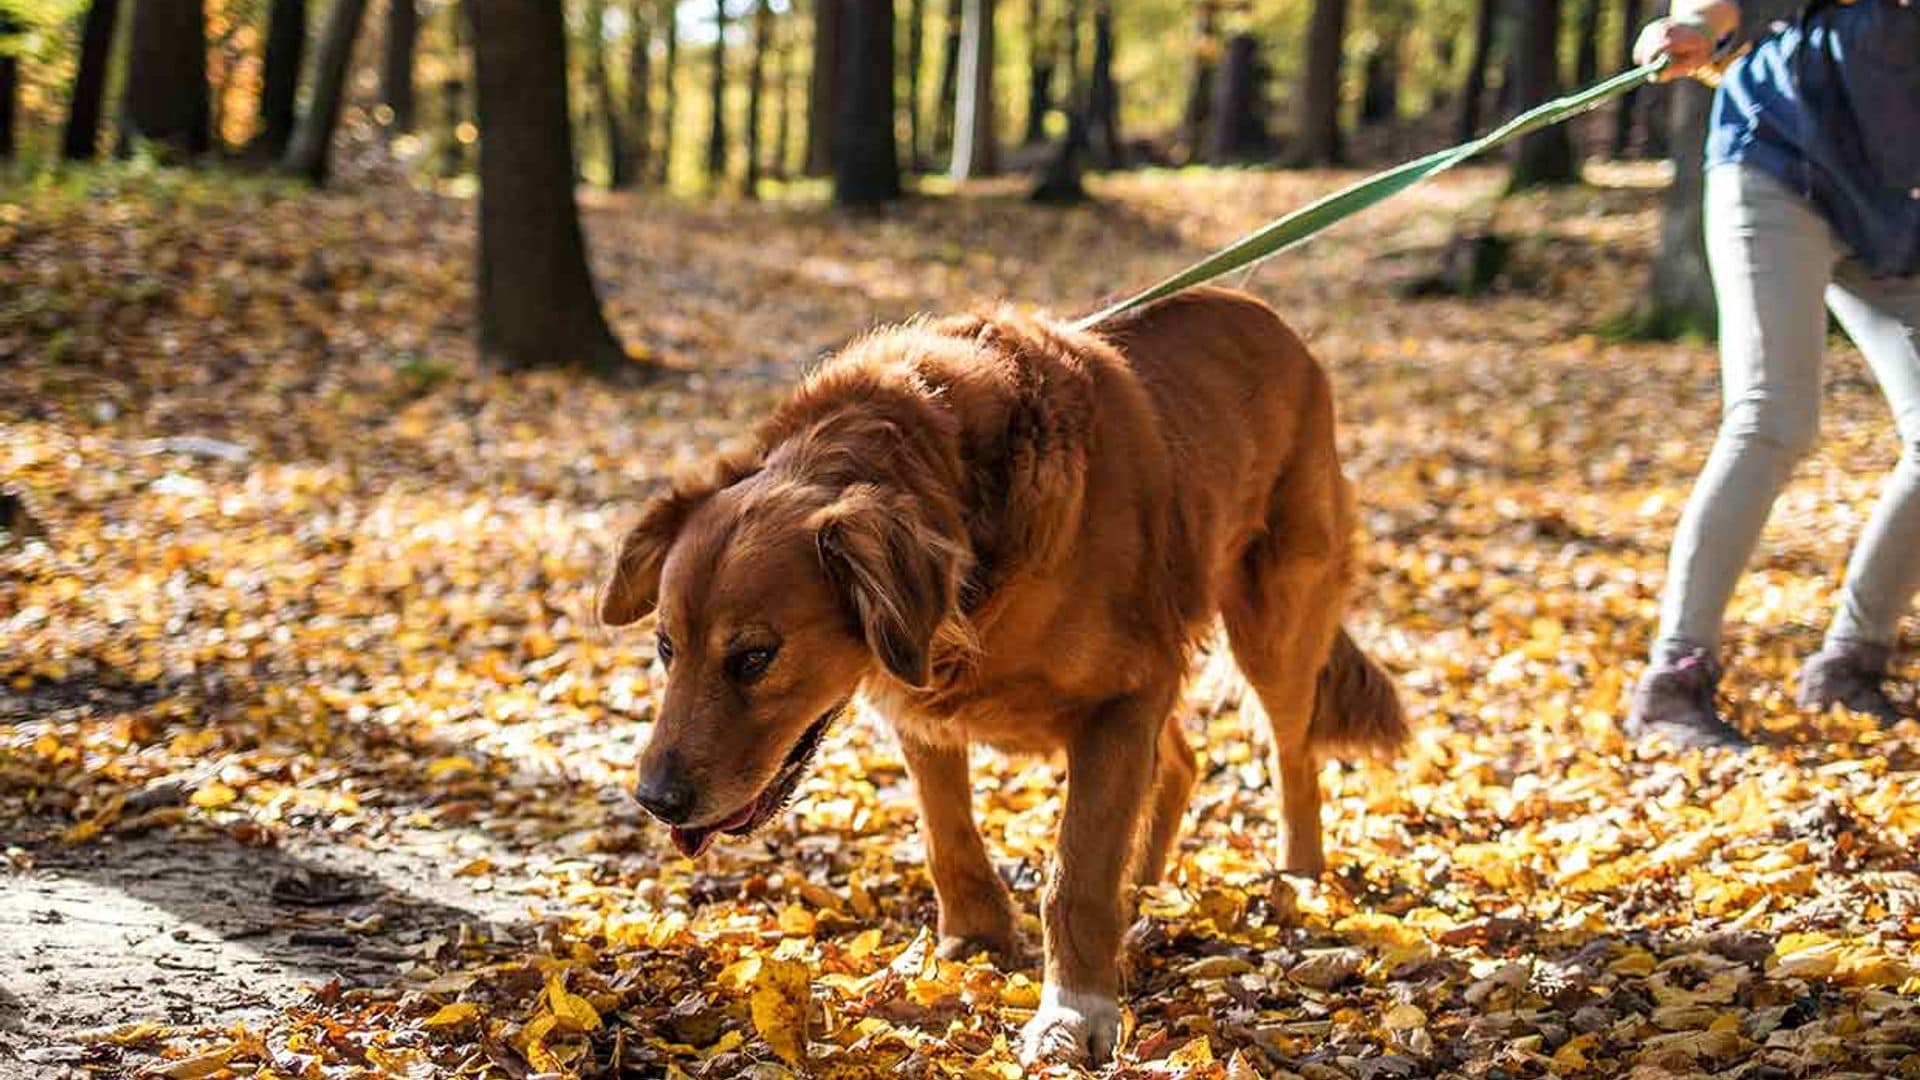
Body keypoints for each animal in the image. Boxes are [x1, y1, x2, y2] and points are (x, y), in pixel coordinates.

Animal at [599, 284, 1413, 1060]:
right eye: (666, 647)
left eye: (755, 657)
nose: (656, 801)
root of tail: (1266, 316)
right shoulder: (925, 702)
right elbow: (948, 837)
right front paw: (976, 938)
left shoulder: (1125, 692)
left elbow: (1076, 874)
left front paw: (1073, 1011)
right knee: (1183, 760)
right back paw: (1145, 882)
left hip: (1275, 618)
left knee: (1291, 751)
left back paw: (1298, 878)